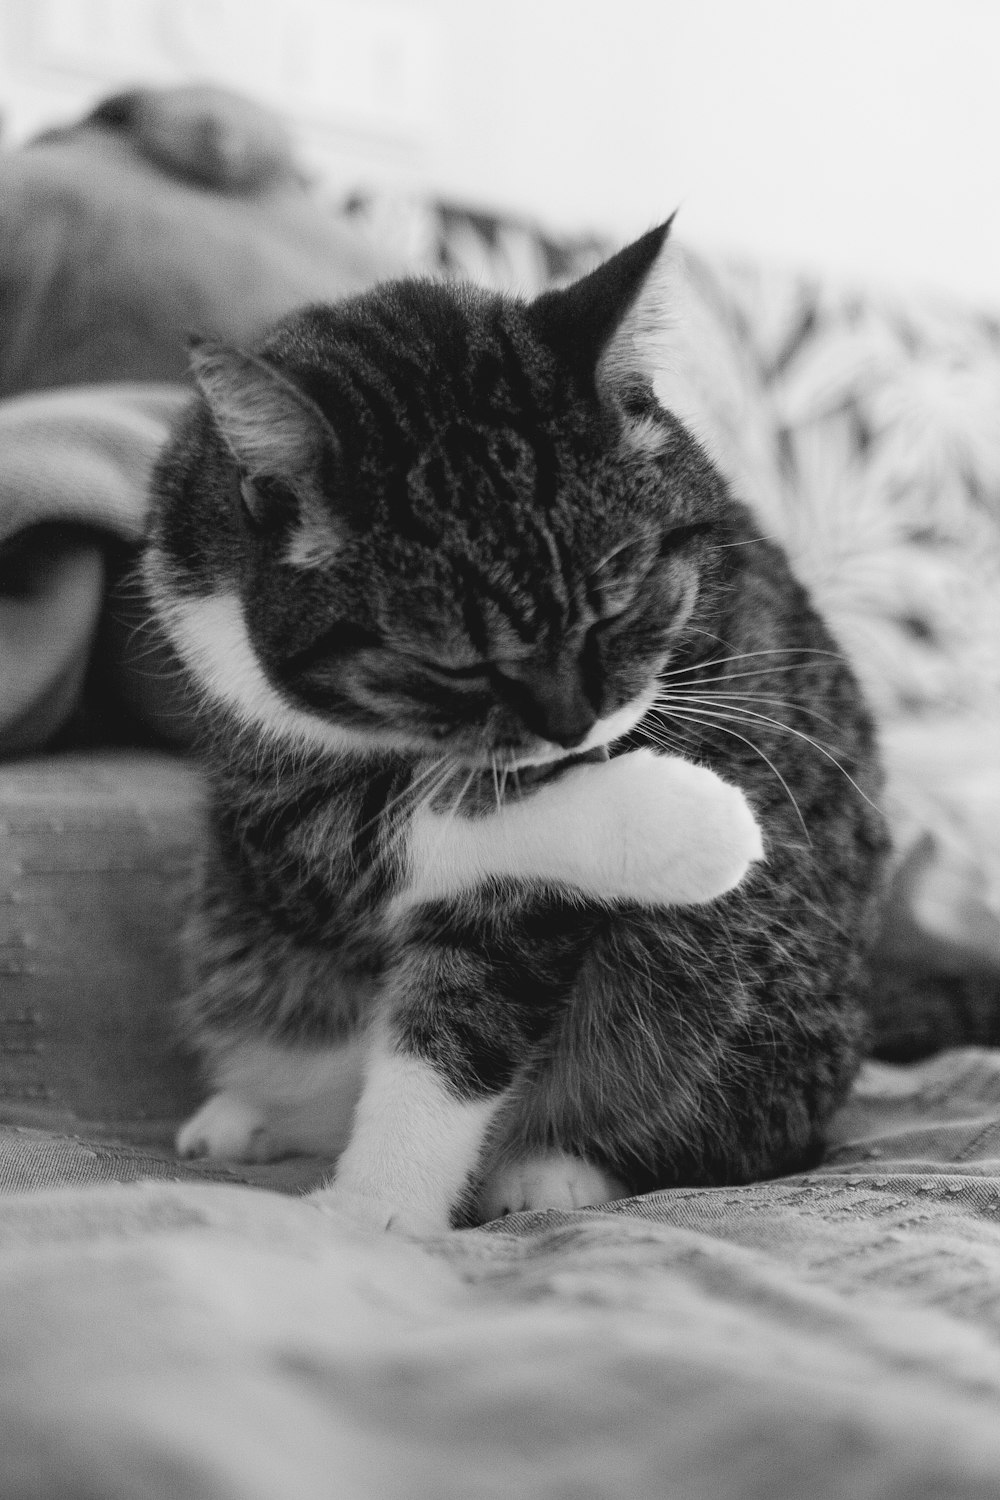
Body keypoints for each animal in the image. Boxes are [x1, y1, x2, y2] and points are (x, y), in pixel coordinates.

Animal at [144, 219, 887, 1230]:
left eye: (618, 607)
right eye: (459, 665)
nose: (574, 728)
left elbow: (469, 996)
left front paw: (377, 1206)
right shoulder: (250, 760)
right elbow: (378, 836)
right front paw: (681, 818)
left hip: (742, 991)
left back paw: (555, 1168)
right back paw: (254, 1113)